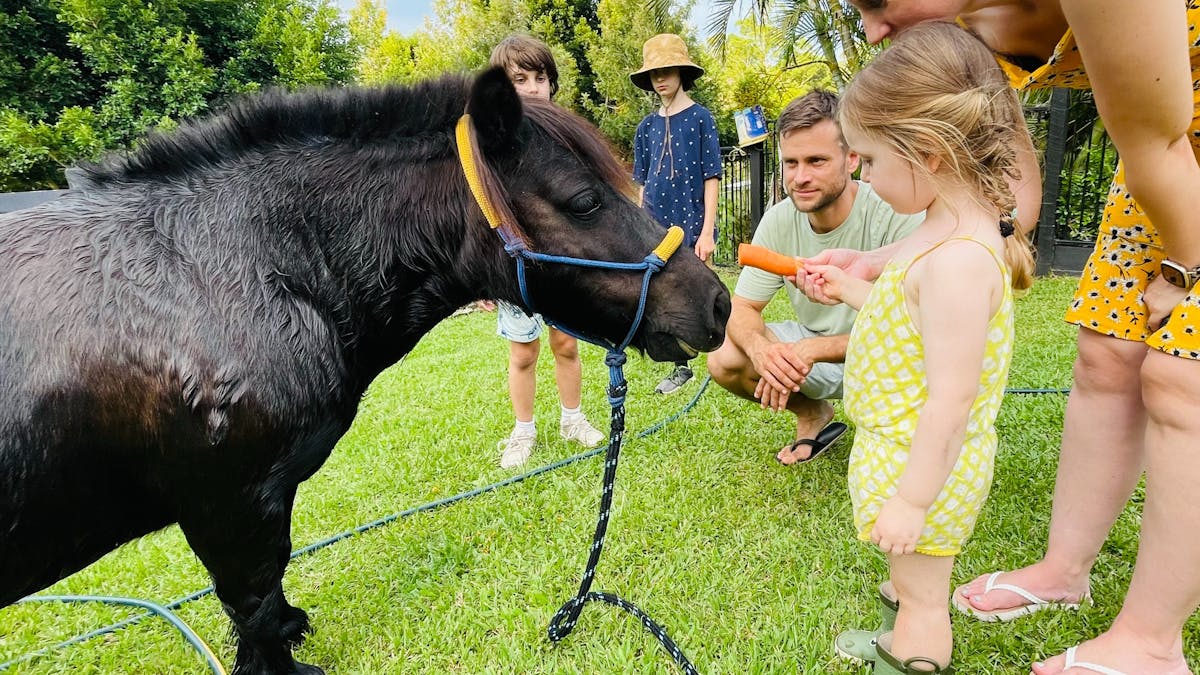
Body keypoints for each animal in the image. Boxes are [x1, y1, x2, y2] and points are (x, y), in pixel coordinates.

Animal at [0, 67, 731, 674]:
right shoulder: (227, 507)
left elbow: (272, 589)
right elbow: (253, 606)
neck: (249, 269)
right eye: (583, 200)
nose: (717, 303)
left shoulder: (263, 501)